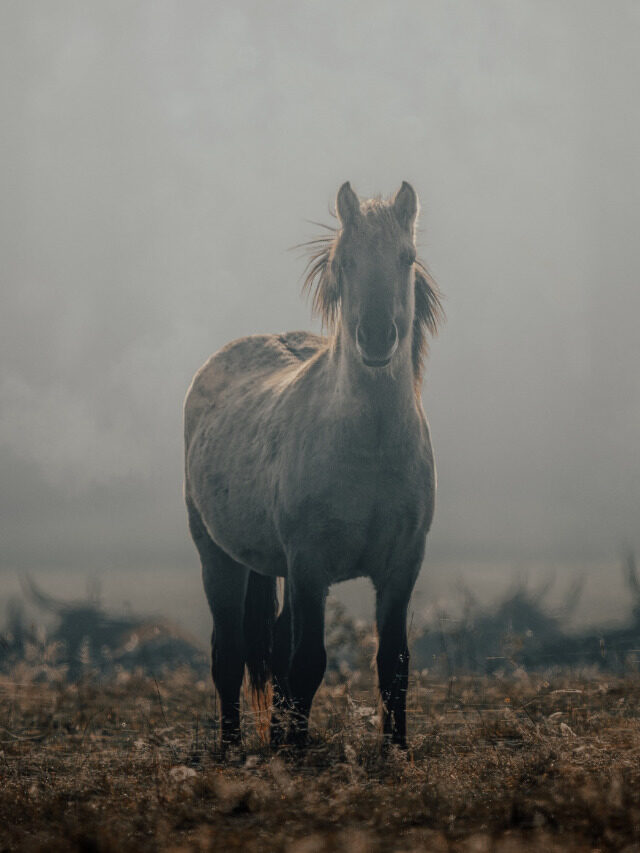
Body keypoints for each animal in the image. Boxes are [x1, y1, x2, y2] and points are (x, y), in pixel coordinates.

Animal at [184, 181, 443, 749]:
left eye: (406, 258)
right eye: (345, 262)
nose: (376, 336)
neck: (369, 449)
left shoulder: (403, 566)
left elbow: (394, 664)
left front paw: (397, 750)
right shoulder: (309, 565)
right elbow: (307, 663)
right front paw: (296, 754)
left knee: (275, 644)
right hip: (218, 557)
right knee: (229, 654)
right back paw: (233, 747)